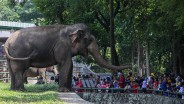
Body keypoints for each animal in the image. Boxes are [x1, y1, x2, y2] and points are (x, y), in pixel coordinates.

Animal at [3, 23, 131, 91]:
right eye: (88, 40)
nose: (131, 66)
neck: (70, 27)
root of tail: (8, 41)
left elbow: (71, 65)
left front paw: (69, 90)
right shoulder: (62, 46)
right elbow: (65, 63)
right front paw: (64, 91)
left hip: (10, 56)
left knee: (12, 71)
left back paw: (13, 89)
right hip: (19, 53)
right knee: (19, 70)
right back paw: (21, 90)